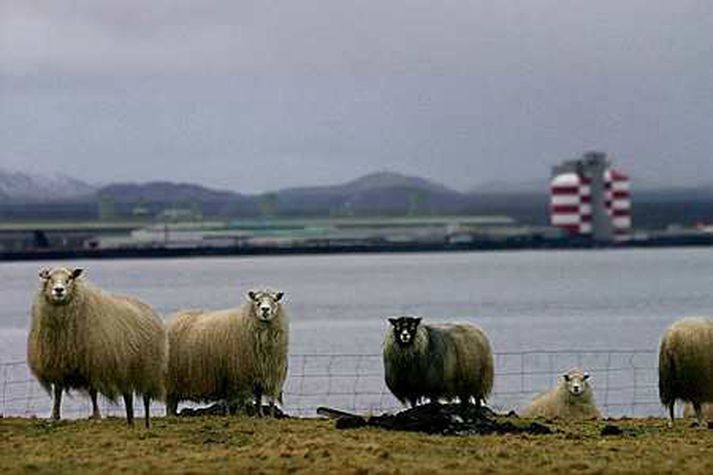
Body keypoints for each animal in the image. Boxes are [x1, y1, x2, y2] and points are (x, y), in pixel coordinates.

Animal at [27, 268, 167, 428]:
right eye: (49, 278)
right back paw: (130, 420)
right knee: (128, 396)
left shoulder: (93, 364)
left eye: (69, 278)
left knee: (146, 399)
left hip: (147, 370)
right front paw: (54, 416)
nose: (59, 290)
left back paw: (147, 423)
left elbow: (93, 392)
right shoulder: (57, 365)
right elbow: (58, 392)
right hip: (127, 371)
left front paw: (96, 415)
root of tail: (149, 309)